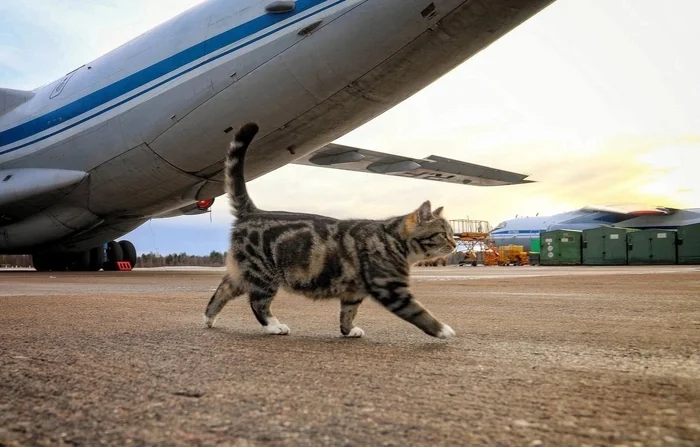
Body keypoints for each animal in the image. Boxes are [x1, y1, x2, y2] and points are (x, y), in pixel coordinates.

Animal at [201, 122, 460, 340]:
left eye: (451, 233)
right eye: (443, 233)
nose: (455, 244)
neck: (392, 239)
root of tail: (252, 211)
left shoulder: (353, 292)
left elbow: (347, 313)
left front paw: (348, 330)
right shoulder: (390, 288)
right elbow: (419, 312)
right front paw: (443, 330)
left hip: (243, 273)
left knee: (222, 291)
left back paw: (208, 319)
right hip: (263, 274)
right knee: (258, 303)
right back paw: (273, 326)